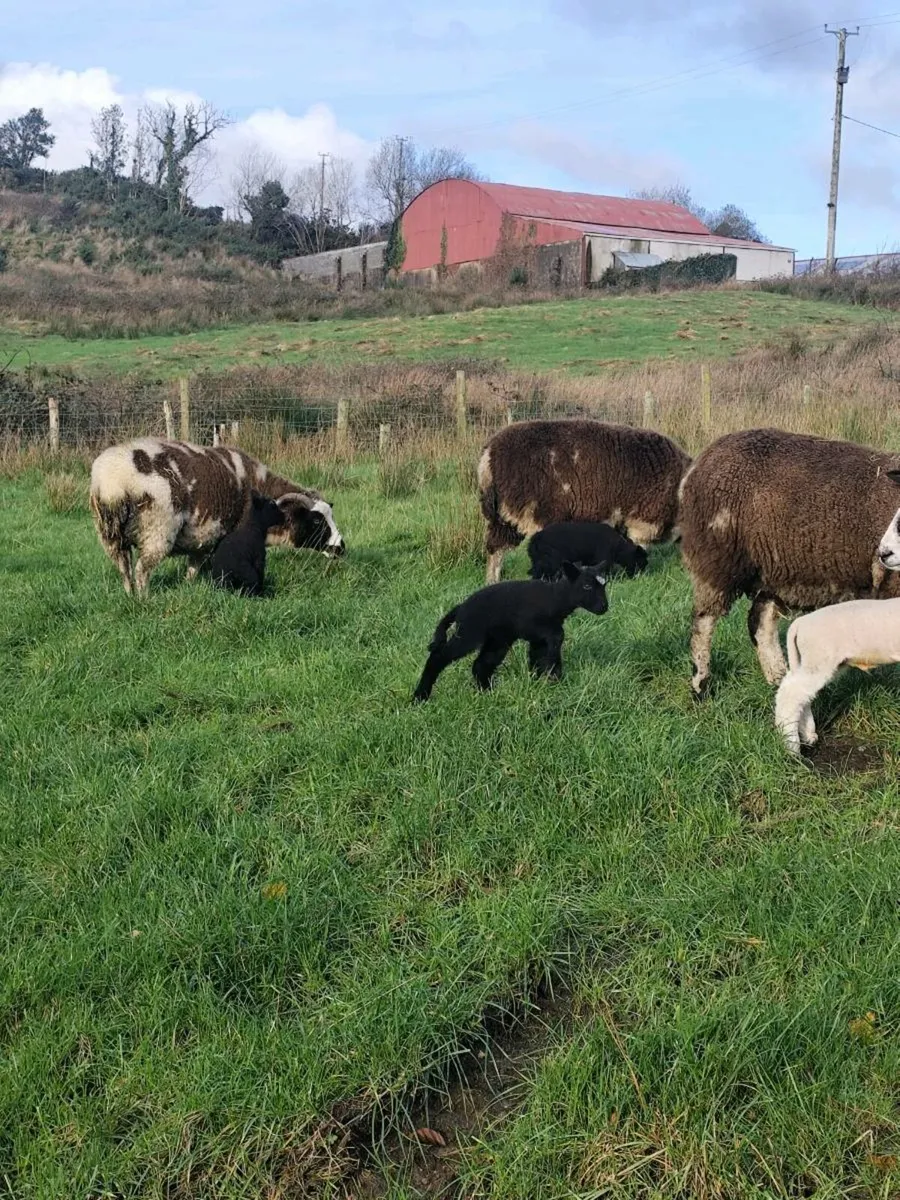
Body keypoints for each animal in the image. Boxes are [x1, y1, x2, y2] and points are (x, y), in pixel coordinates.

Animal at [90, 438, 344, 595]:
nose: (341, 548)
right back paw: (145, 601)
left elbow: (192, 570)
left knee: (124, 569)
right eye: (317, 521)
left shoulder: (201, 539)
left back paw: (130, 597)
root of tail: (112, 482)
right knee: (142, 571)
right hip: (157, 530)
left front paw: (189, 589)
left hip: (111, 536)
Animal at [412, 562, 608, 703]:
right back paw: (420, 697)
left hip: (497, 640)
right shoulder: (531, 625)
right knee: (438, 657)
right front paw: (553, 674)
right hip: (468, 632)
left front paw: (542, 680)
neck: (554, 599)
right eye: (587, 586)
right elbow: (557, 636)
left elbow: (537, 657)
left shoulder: (538, 639)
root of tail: (461, 607)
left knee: (481, 664)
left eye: (604, 586)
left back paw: (487, 693)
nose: (604, 607)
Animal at [478, 419, 690, 583]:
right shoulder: (644, 520)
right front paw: (635, 575)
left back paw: (492, 581)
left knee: (495, 548)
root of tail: (488, 455)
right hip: (538, 513)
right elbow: (638, 549)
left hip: (504, 514)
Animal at [678, 428, 900, 696]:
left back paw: (777, 678)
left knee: (760, 622)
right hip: (716, 560)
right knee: (703, 622)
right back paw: (700, 686)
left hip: (772, 571)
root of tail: (699, 462)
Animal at [774, 599, 900, 754]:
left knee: (801, 694)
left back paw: (808, 735)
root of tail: (800, 622)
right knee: (791, 694)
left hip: (812, 662)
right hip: (819, 659)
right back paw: (792, 748)